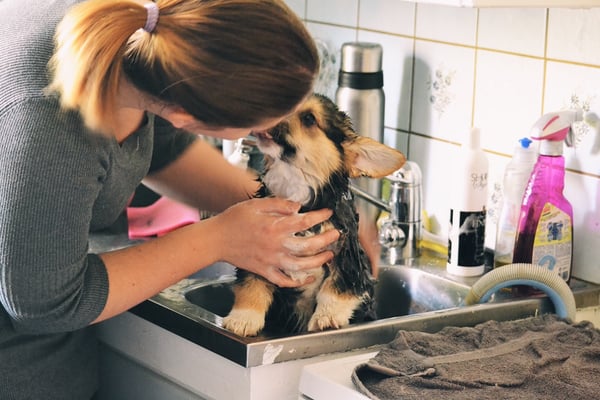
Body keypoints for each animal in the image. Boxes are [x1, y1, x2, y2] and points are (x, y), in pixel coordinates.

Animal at [223, 94, 406, 338]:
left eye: (309, 118)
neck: (298, 199)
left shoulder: (347, 260)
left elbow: (335, 289)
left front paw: (326, 317)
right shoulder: (258, 254)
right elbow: (252, 285)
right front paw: (242, 319)